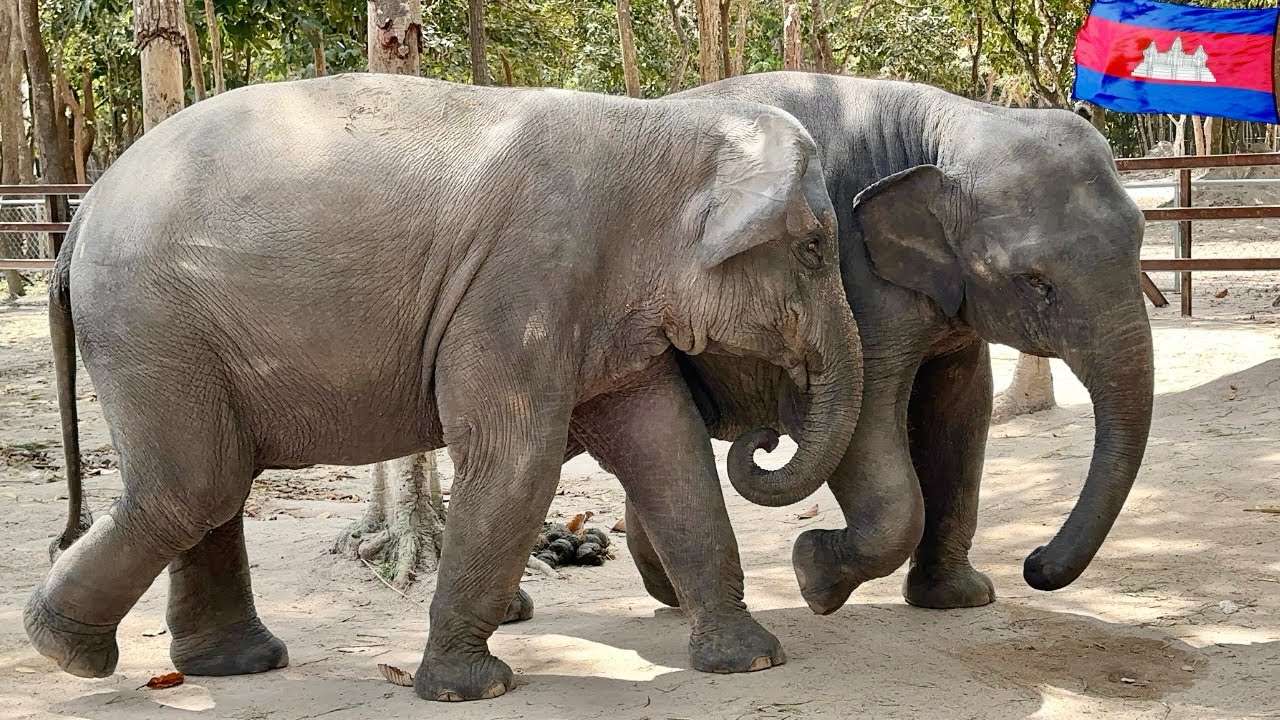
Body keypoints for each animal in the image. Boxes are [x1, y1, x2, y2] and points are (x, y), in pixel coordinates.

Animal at [25, 73, 864, 702]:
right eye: (815, 247)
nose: (762, 434)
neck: (660, 125)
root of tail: (82, 214)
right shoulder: (522, 281)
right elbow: (515, 460)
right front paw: (473, 688)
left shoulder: (603, 311)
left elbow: (668, 450)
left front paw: (753, 660)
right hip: (150, 323)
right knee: (193, 486)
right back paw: (66, 653)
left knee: (213, 484)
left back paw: (234, 664)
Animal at [623, 71, 1153, 614]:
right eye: (1034, 281)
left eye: (1140, 239)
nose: (1034, 562)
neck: (953, 121)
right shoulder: (853, 279)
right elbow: (863, 418)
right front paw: (814, 578)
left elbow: (961, 412)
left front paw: (957, 598)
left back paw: (669, 593)